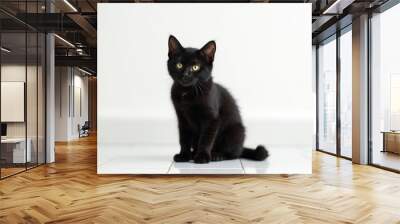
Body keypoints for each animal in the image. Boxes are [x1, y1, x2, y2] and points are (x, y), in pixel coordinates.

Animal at [166, 35, 268, 164]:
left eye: (195, 67)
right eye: (179, 65)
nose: (186, 75)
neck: (187, 92)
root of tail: (241, 147)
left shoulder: (212, 119)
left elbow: (206, 139)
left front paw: (202, 156)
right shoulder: (182, 118)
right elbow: (184, 138)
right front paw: (184, 155)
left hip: (235, 132)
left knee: (234, 154)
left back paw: (217, 155)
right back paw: (194, 153)